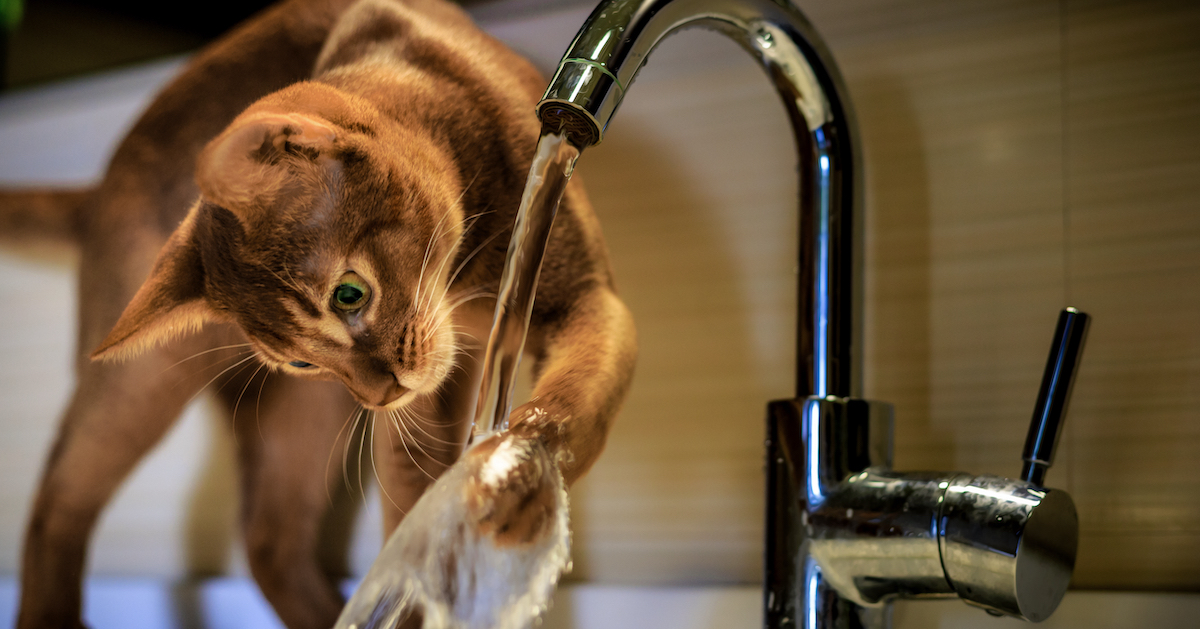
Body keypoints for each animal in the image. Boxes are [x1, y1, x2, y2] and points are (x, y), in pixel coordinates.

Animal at [2, 1, 638, 629]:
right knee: (56, 504)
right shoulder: (420, 404)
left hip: (292, 414)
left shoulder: (586, 297)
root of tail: (97, 189)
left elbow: (573, 404)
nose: (381, 395)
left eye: (348, 295)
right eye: (301, 362)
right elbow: (411, 518)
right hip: (144, 388)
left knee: (268, 538)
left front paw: (512, 477)